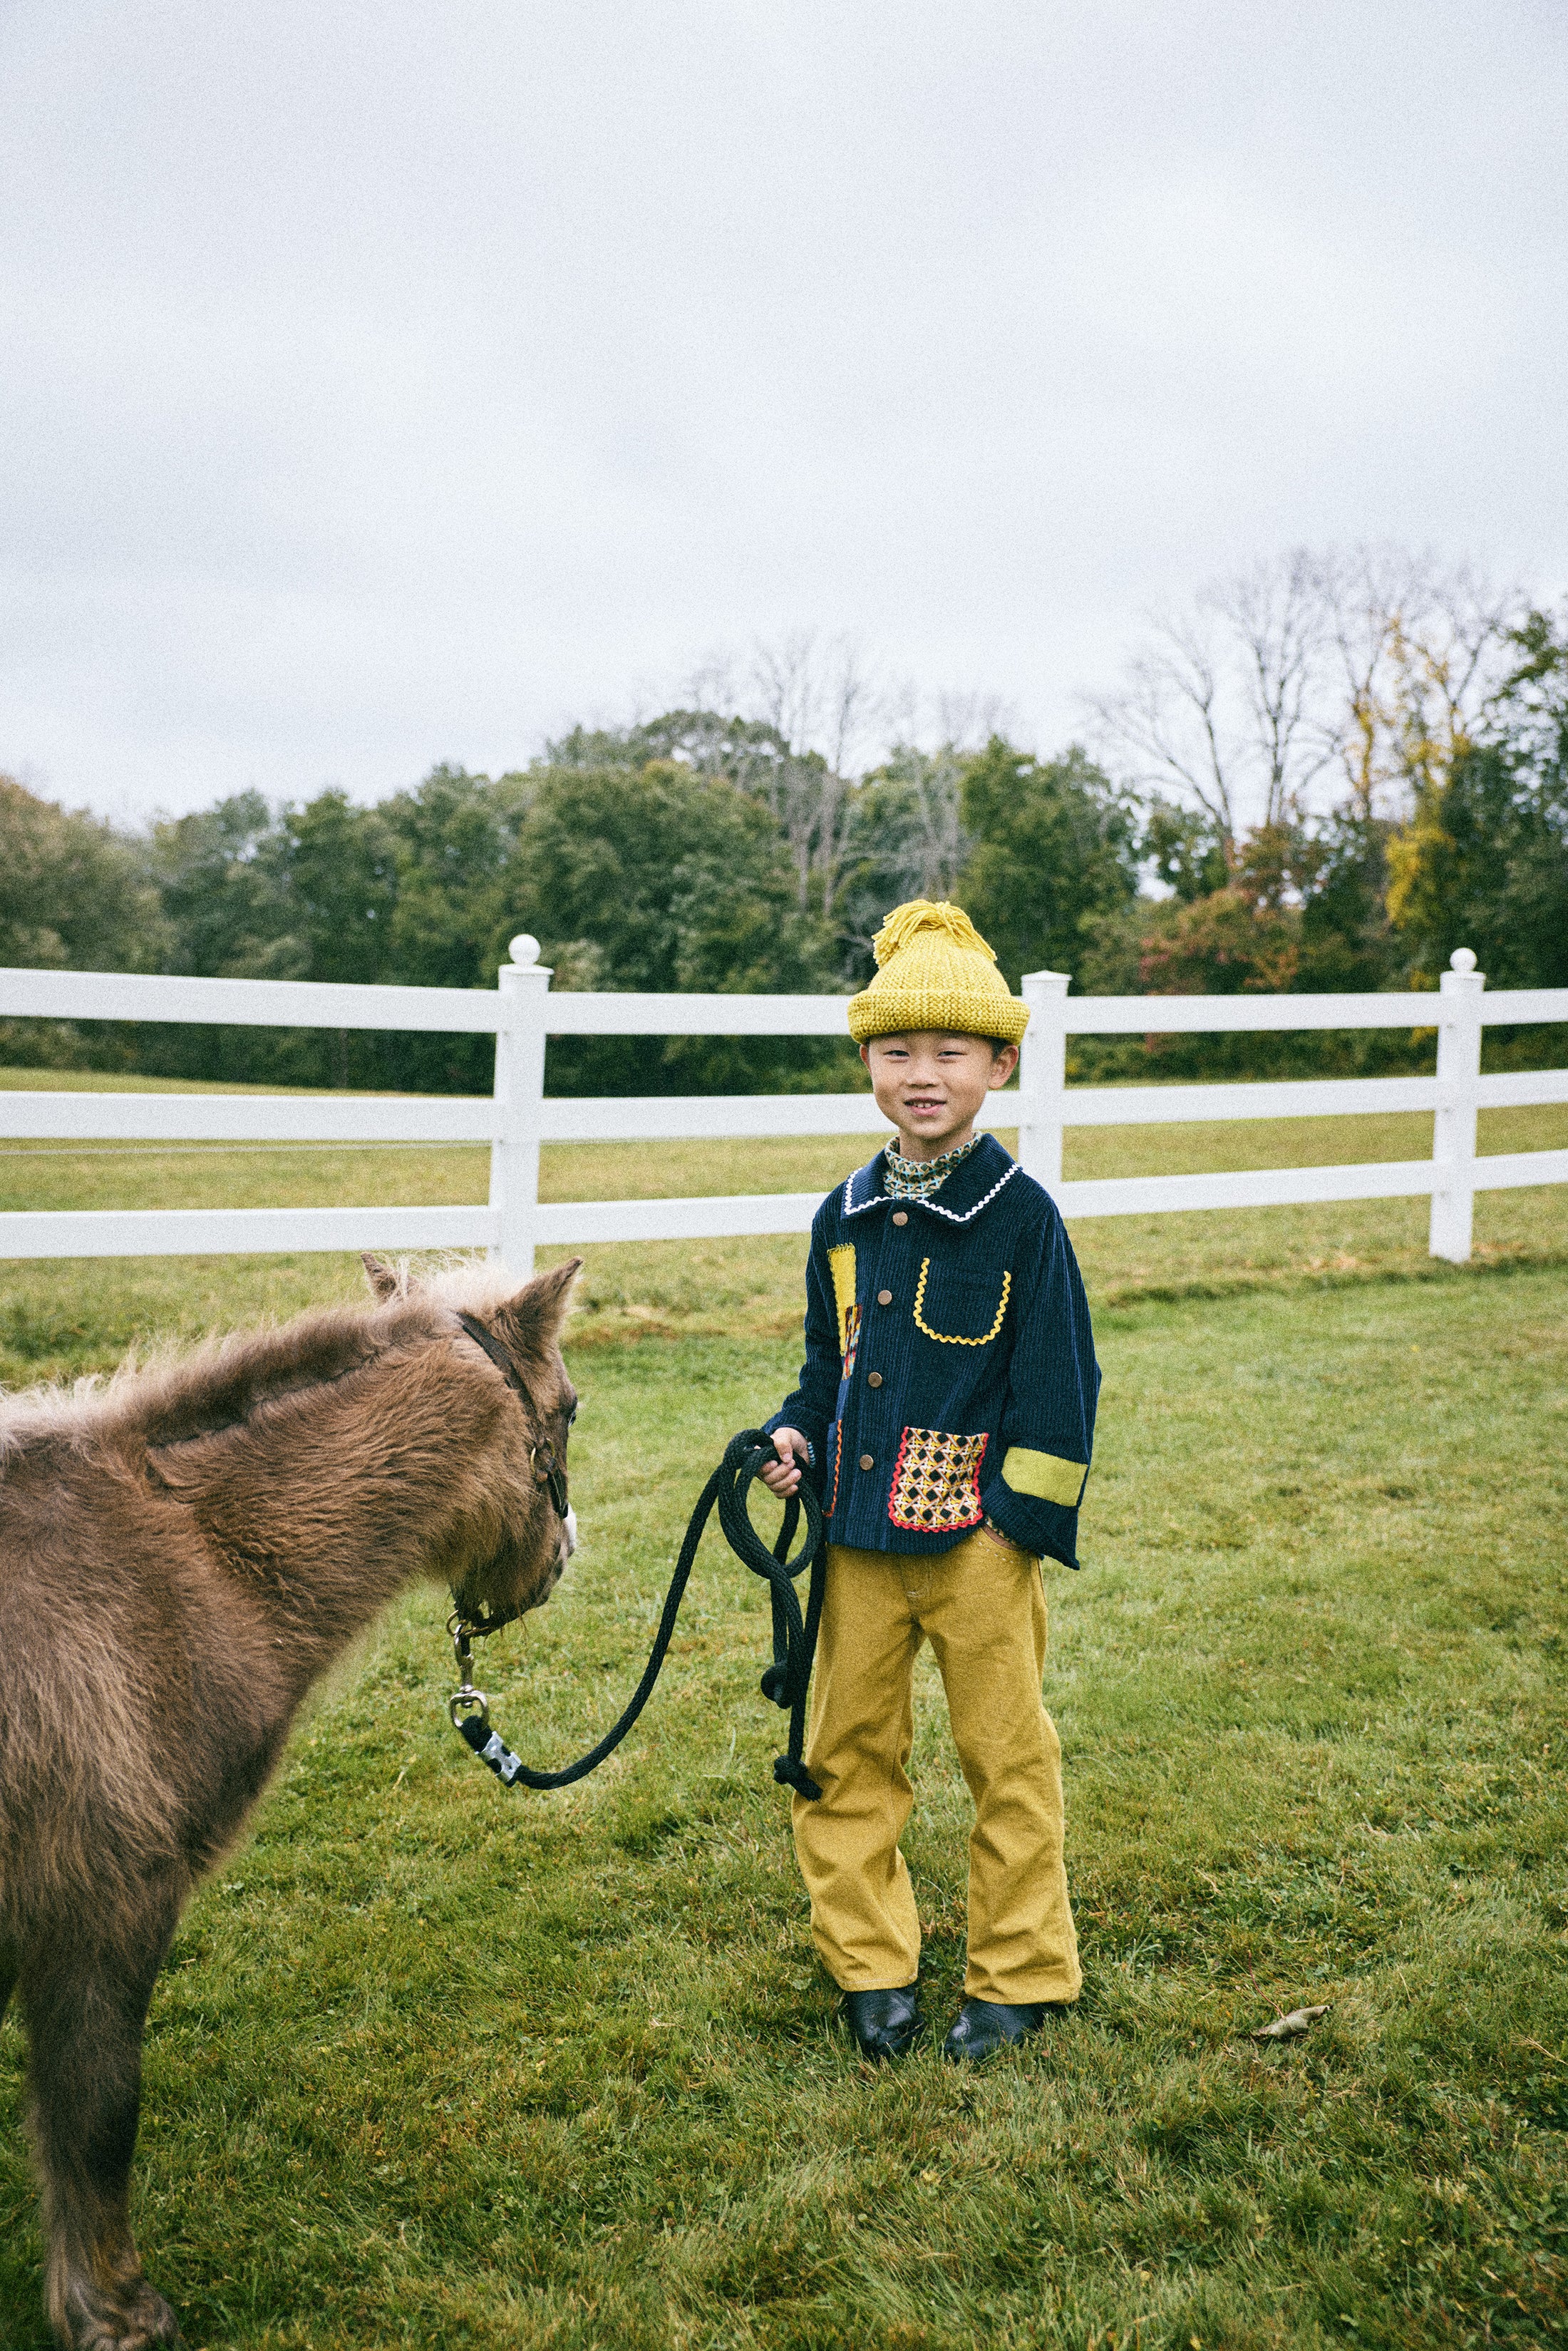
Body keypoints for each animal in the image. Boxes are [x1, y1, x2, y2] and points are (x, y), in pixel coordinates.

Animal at [0, 1260, 582, 2341]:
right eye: (567, 1408)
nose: (560, 1559)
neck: (183, 1564)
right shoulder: (102, 1907)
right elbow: (98, 2110)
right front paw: (115, 2308)